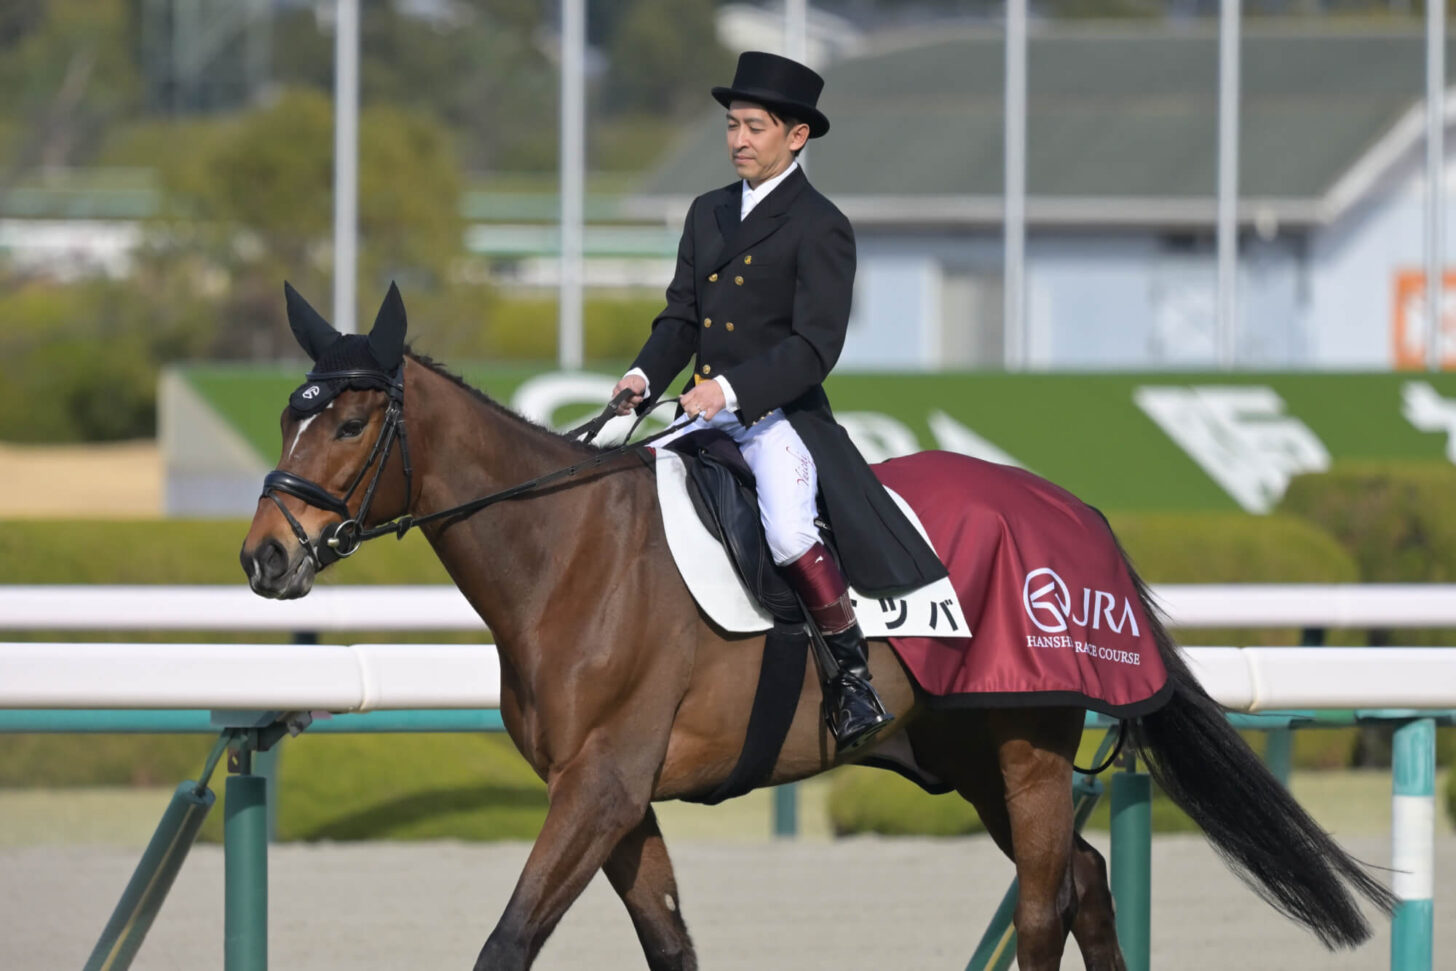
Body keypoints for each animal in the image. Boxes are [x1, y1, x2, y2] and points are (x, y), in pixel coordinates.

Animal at [244, 282, 1391, 971]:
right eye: (288, 413)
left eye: (350, 419)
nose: (265, 557)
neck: (570, 553)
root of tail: (1076, 511)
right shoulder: (619, 795)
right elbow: (669, 944)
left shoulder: (602, 783)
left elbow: (507, 941)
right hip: (964, 753)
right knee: (1084, 881)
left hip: (1026, 741)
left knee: (1042, 901)